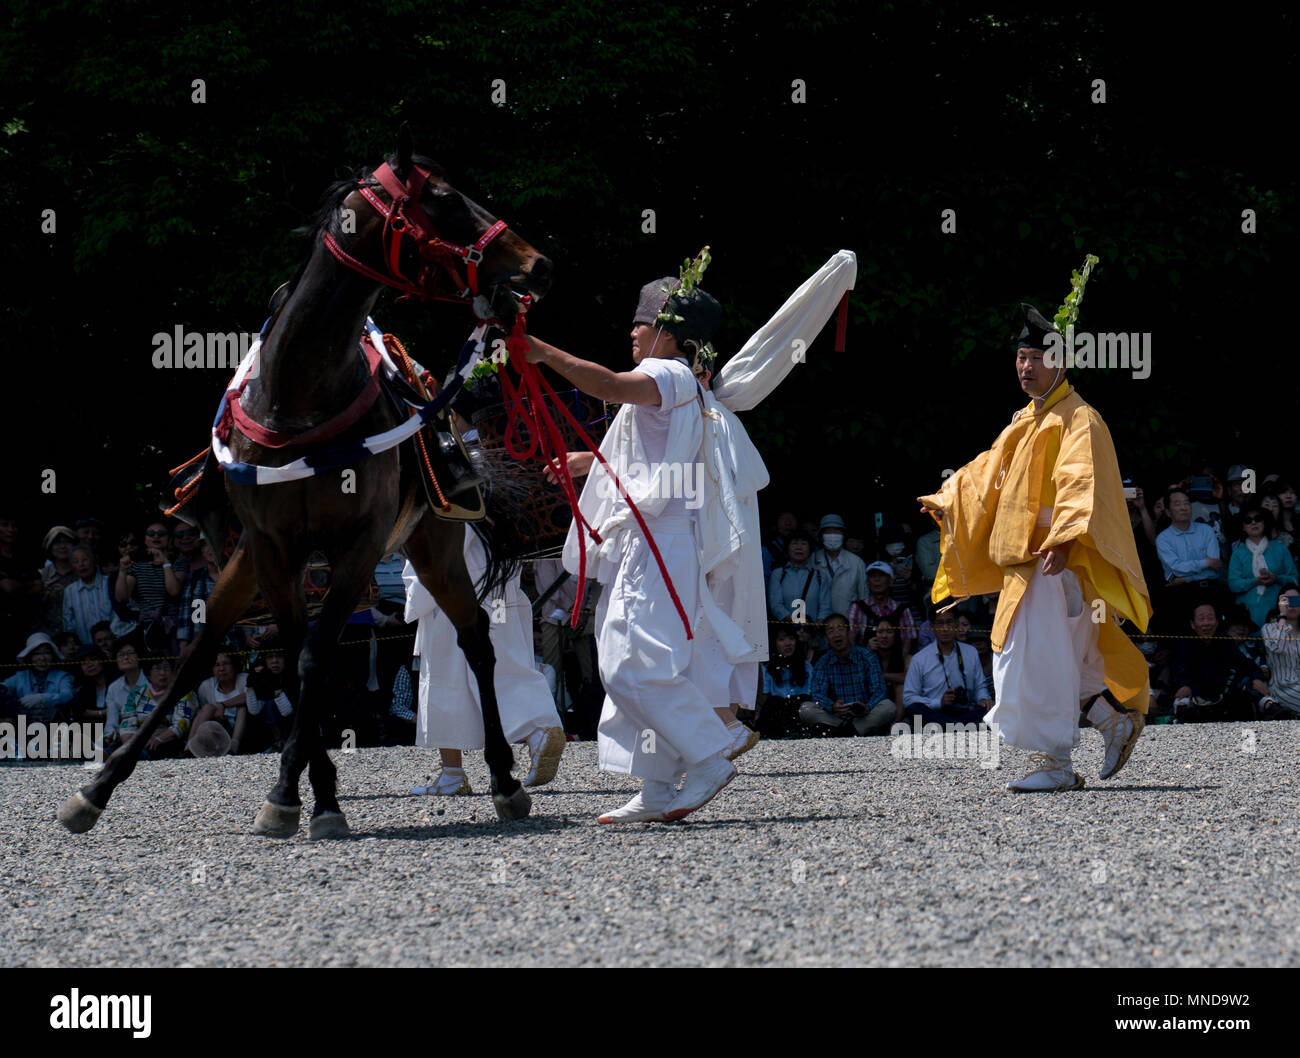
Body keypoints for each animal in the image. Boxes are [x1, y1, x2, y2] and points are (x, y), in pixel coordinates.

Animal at [59, 132, 553, 842]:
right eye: (443, 198)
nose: (535, 265)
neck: (298, 397)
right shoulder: (272, 546)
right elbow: (294, 658)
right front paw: (310, 790)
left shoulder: (360, 543)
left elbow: (317, 658)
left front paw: (298, 793)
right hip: (248, 559)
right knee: (198, 655)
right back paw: (98, 787)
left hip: (432, 545)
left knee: (475, 641)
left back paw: (507, 779)